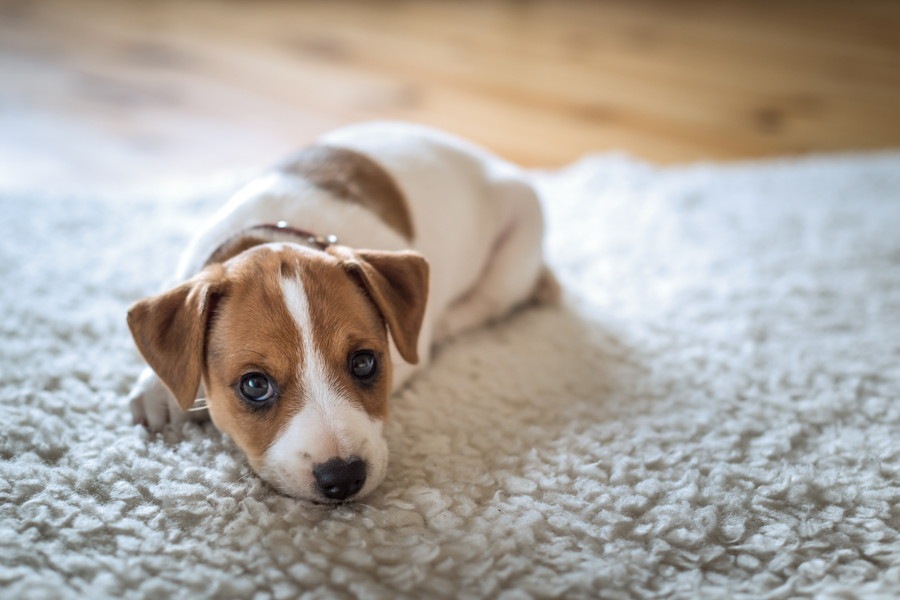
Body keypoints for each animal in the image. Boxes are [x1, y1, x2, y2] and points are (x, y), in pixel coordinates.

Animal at [125, 120, 556, 502]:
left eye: (364, 363)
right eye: (254, 385)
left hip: (517, 239)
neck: (276, 232)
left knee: (488, 302)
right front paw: (158, 390)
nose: (344, 478)